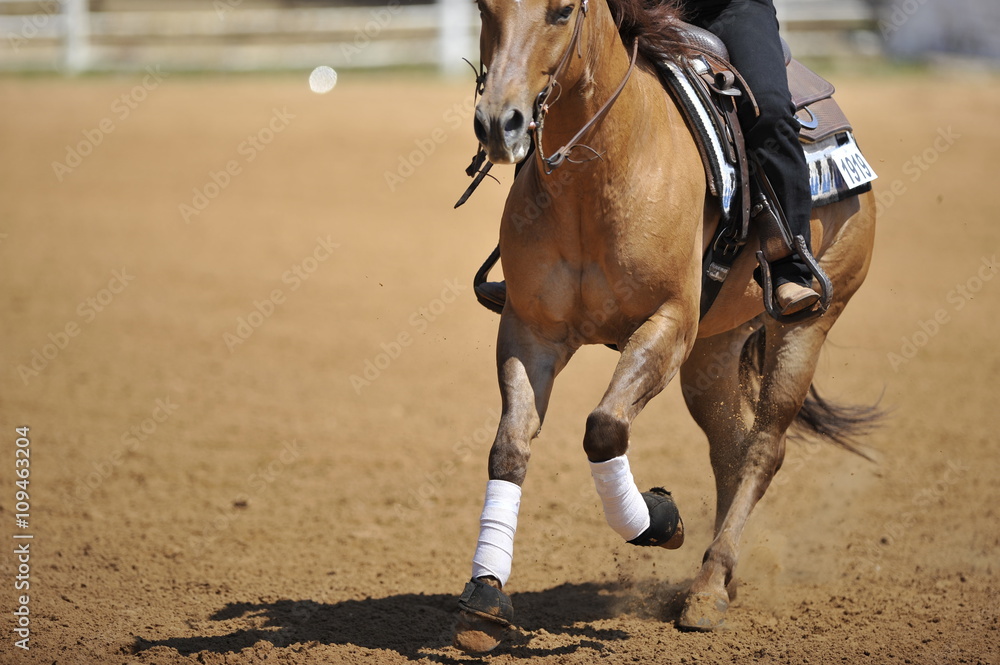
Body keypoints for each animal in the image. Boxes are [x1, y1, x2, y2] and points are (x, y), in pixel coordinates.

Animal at [452, 0, 878, 652]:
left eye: (563, 11)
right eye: (483, 9)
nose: (499, 123)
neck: (601, 171)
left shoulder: (669, 325)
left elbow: (604, 429)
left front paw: (658, 519)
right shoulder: (531, 332)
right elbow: (510, 447)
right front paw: (485, 598)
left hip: (808, 326)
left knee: (764, 449)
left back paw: (705, 592)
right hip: (714, 351)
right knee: (731, 448)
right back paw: (719, 579)